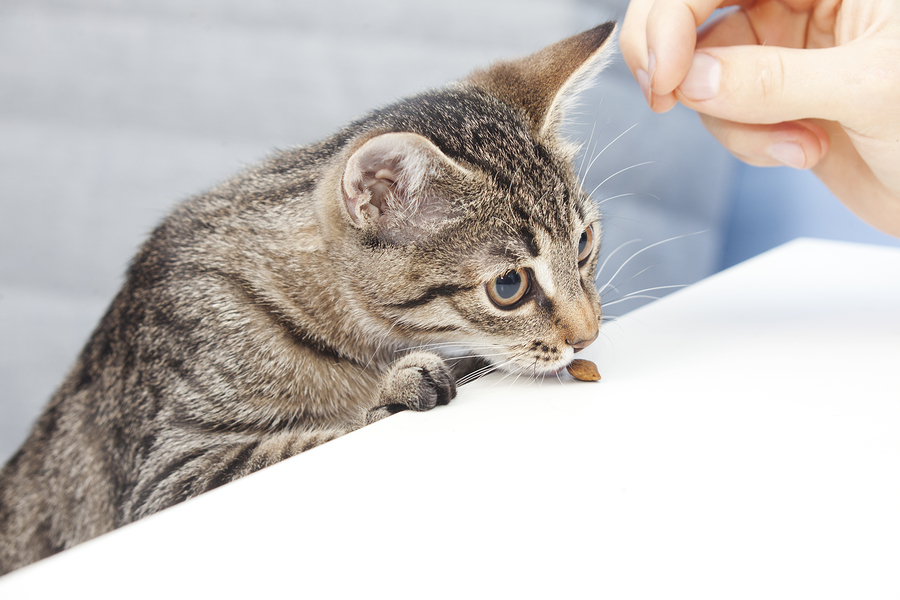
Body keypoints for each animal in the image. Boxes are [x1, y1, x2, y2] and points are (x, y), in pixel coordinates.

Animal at [0, 23, 612, 576]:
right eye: (509, 287)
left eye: (584, 243)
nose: (588, 334)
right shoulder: (168, 476)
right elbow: (311, 439)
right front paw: (392, 390)